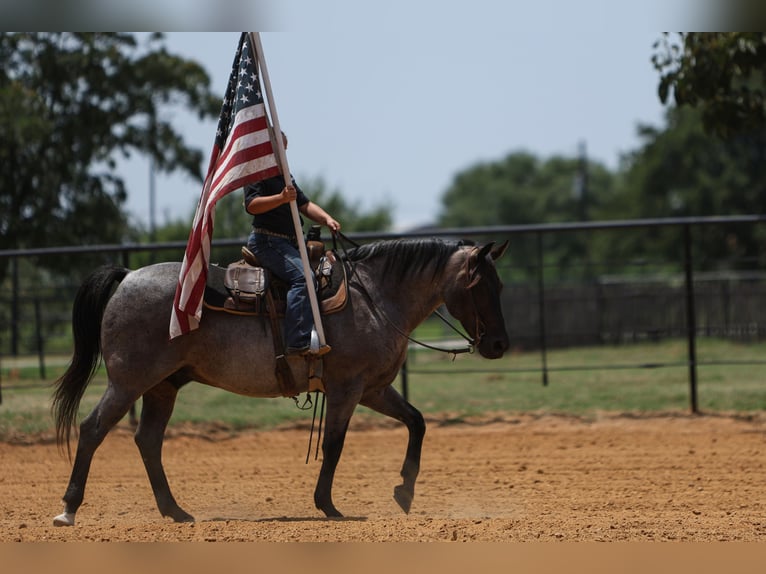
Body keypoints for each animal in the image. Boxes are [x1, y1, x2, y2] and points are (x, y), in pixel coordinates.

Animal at [52, 237, 510, 528]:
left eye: (500, 284)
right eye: (477, 284)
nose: (500, 344)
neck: (374, 298)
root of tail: (128, 275)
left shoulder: (374, 389)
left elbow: (417, 421)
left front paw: (405, 492)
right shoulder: (346, 389)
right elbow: (334, 445)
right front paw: (328, 505)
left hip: (162, 386)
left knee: (148, 441)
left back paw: (176, 512)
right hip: (128, 382)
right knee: (93, 429)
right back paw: (69, 509)